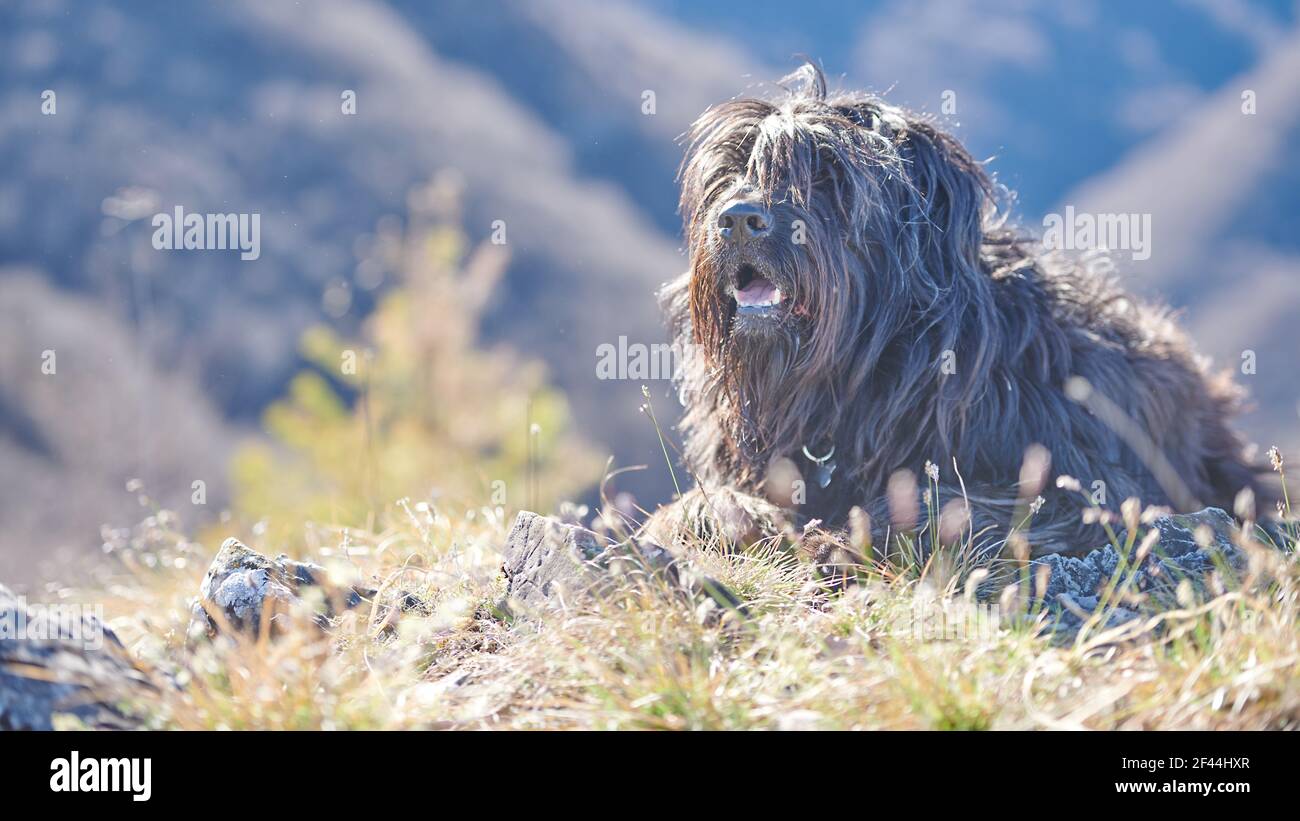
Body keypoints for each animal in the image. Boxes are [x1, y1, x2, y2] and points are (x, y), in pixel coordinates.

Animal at [644, 65, 1274, 563]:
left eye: (827, 174)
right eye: (733, 170)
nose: (738, 219)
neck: (857, 379)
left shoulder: (1096, 486)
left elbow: (954, 503)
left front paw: (842, 539)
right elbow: (699, 502)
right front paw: (730, 518)